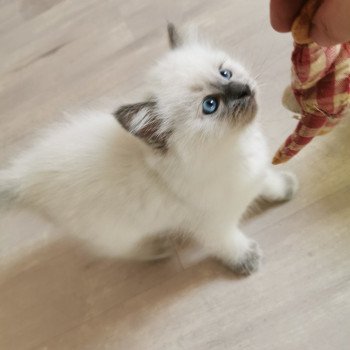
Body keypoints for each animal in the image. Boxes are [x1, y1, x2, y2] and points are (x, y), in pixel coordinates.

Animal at [0, 24, 298, 276]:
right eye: (210, 105)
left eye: (225, 73)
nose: (244, 89)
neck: (236, 147)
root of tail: (25, 176)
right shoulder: (213, 226)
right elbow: (229, 244)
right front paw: (247, 261)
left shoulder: (256, 173)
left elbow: (268, 182)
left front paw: (285, 188)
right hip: (116, 232)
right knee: (126, 251)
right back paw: (159, 249)